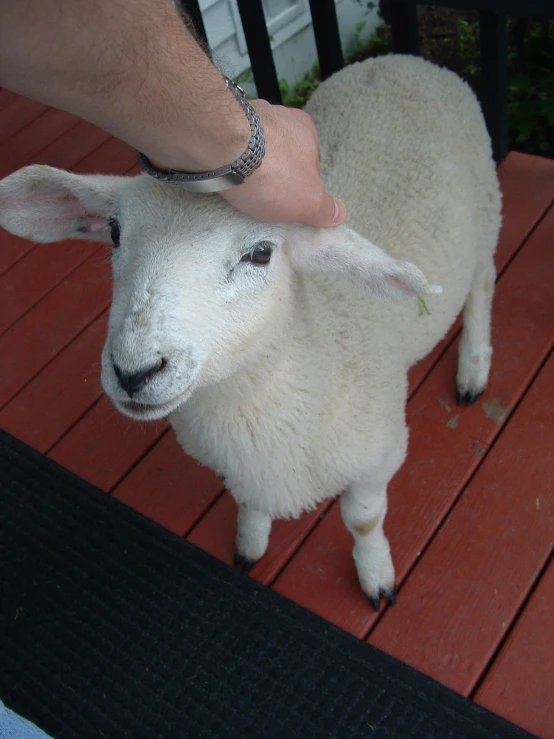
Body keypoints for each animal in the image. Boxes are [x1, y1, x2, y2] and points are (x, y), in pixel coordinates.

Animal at [0, 56, 500, 612]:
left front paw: (376, 576)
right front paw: (250, 542)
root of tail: (401, 61)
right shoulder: (242, 471)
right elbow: (247, 503)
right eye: (113, 233)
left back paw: (473, 368)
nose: (134, 372)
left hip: (487, 212)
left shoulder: (379, 455)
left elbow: (364, 522)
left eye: (261, 253)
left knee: (482, 283)